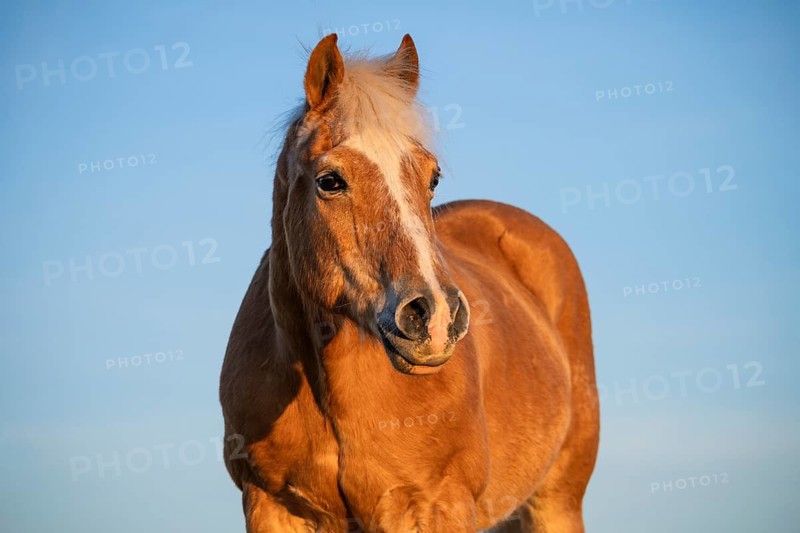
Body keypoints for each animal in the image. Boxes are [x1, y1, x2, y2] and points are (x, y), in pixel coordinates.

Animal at [219, 33, 599, 533]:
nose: (434, 317)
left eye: (432, 177)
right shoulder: (272, 506)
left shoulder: (431, 505)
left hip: (556, 502)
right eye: (330, 181)